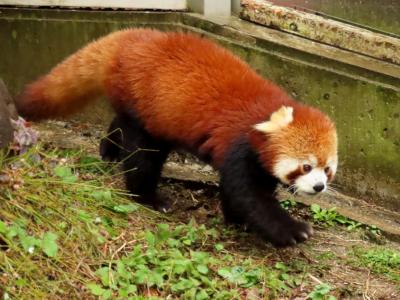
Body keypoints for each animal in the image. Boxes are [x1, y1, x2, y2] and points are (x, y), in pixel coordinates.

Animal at [17, 28, 340, 246]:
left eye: (327, 169)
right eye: (306, 166)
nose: (319, 187)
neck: (263, 118)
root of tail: (129, 39)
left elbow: (240, 192)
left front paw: (238, 220)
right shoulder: (239, 146)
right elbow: (249, 194)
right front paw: (290, 230)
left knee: (120, 124)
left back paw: (109, 149)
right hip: (147, 111)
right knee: (143, 157)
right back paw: (148, 196)